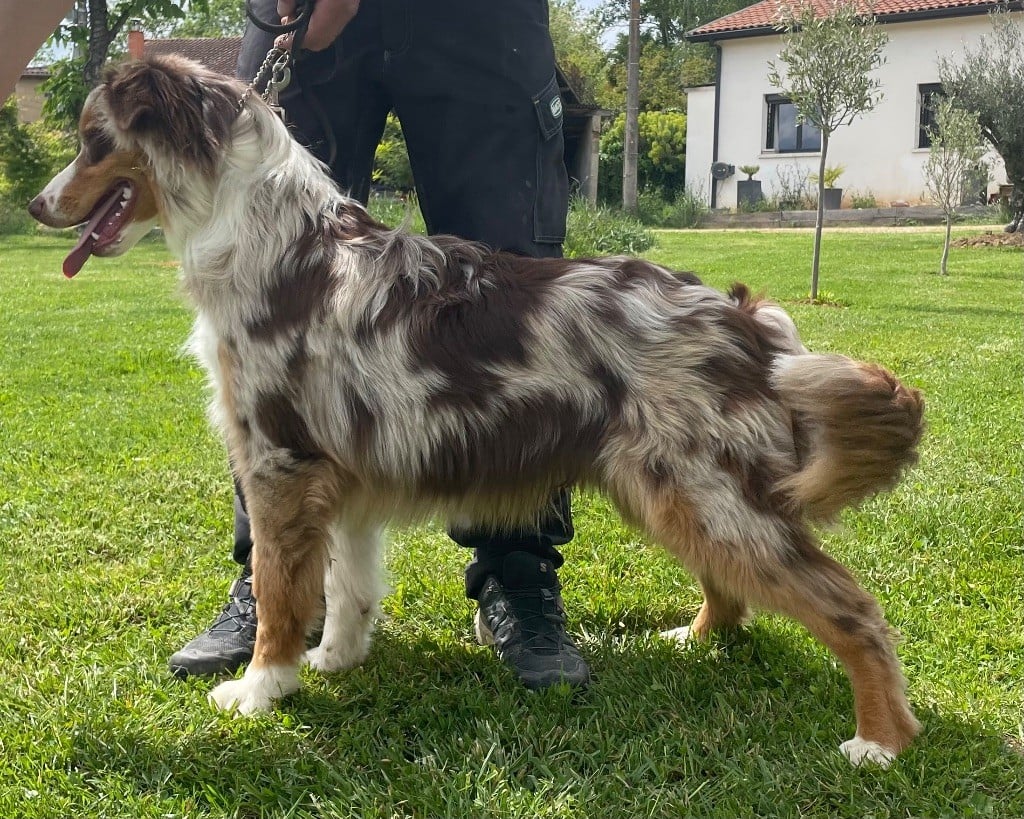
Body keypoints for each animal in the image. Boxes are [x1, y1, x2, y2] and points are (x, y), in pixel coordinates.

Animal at [29, 54, 929, 765]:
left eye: (93, 139)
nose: (37, 206)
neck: (275, 242)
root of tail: (747, 319)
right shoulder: (341, 478)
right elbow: (348, 586)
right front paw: (335, 660)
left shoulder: (280, 464)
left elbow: (282, 593)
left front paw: (260, 689)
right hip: (674, 491)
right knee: (738, 587)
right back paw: (698, 639)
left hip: (702, 493)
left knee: (852, 607)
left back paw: (879, 741)